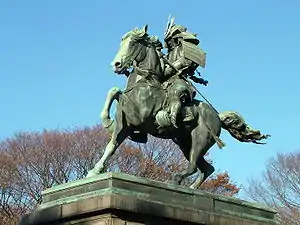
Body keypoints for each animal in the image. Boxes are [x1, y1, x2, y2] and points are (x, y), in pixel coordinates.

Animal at [86, 24, 270, 188]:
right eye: (121, 42)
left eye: (132, 43)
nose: (116, 64)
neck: (143, 84)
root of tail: (217, 116)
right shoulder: (125, 127)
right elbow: (111, 145)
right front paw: (95, 170)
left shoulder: (138, 117)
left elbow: (116, 92)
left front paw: (107, 121)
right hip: (184, 143)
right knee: (206, 168)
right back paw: (192, 188)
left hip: (200, 141)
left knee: (194, 166)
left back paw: (176, 180)